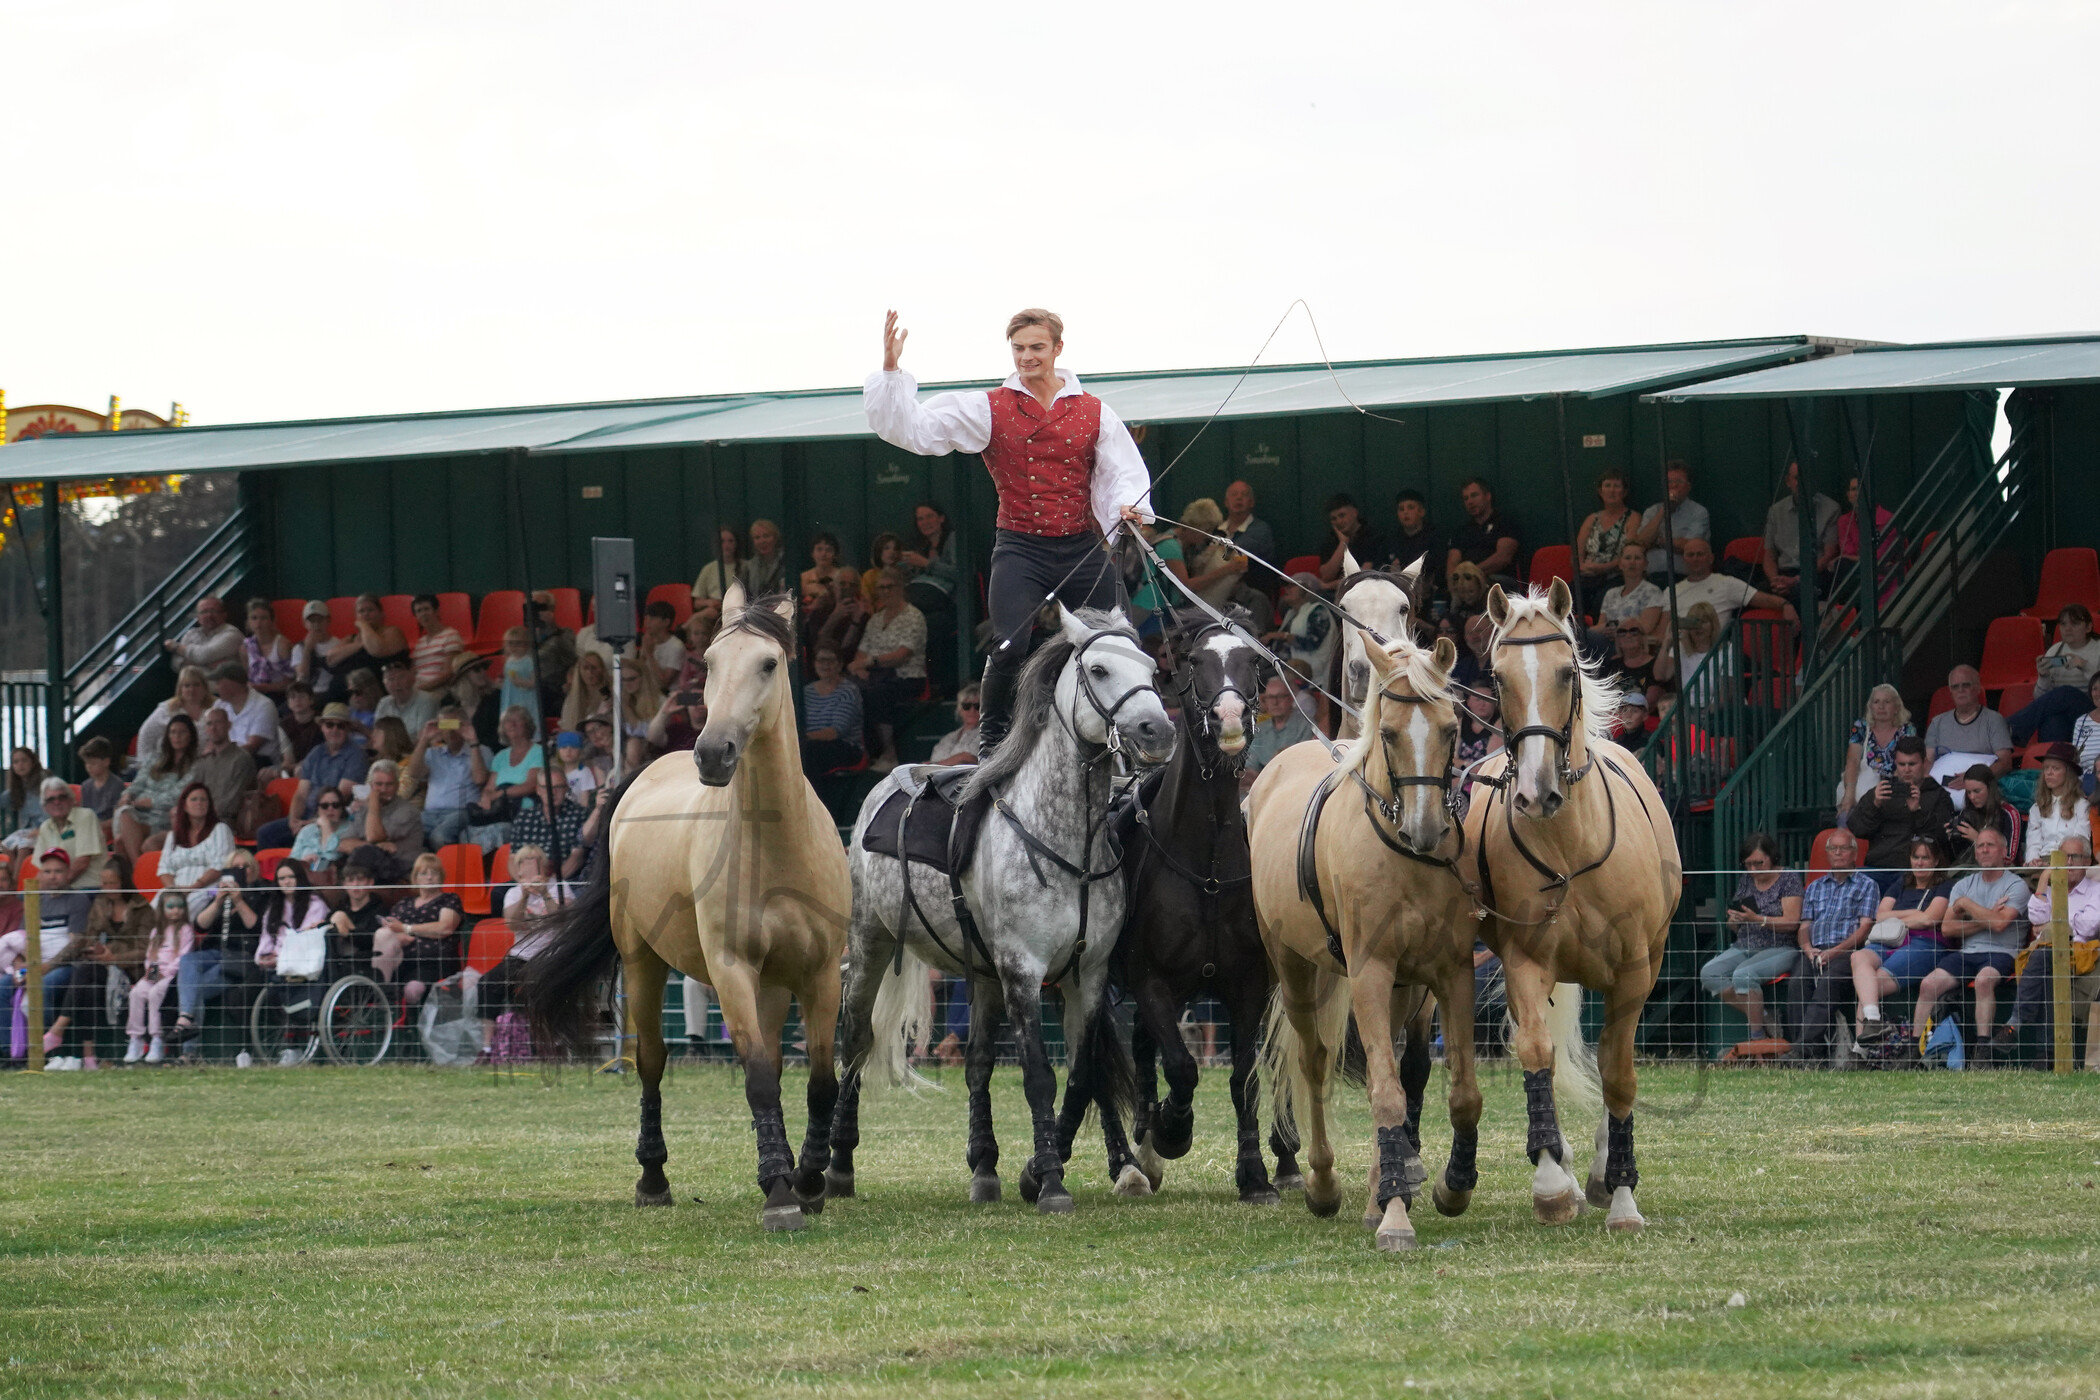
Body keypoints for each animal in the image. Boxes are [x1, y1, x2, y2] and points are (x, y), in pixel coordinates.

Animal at [525, 587, 852, 1234]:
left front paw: (807, 1180)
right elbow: (757, 1079)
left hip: (772, 986)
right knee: (652, 1061)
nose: (713, 753)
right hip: (643, 963)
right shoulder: (730, 969)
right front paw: (781, 1195)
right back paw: (653, 1179)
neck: (780, 850)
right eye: (709, 663)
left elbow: (819, 1083)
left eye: (769, 663)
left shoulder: (822, 973)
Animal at [1117, 612, 1293, 1208]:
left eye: (1253, 660)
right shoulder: (1150, 981)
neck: (1208, 865)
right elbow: (1181, 1066)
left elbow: (1243, 1079)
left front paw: (1255, 1175)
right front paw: (1172, 1129)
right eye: (1195, 661)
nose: (1230, 717)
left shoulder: (1249, 985)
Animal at [1251, 629, 1486, 1250]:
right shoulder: (1371, 973)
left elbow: (1457, 1092)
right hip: (1293, 966)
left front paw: (1446, 1189)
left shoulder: (1449, 973)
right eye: (1388, 733)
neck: (1404, 857)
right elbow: (1385, 1092)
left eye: (1451, 729)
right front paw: (1395, 1216)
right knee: (1313, 1061)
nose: (1425, 829)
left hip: (1404, 988)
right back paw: (1323, 1184)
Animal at [1469, 579, 1679, 1234]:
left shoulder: (1635, 972)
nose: (1536, 793)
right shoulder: (1524, 962)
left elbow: (1619, 1073)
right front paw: (1550, 1183)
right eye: (1498, 676)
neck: (1570, 844)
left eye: (1566, 672)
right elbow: (1537, 1053)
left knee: (1615, 1060)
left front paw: (1622, 1192)